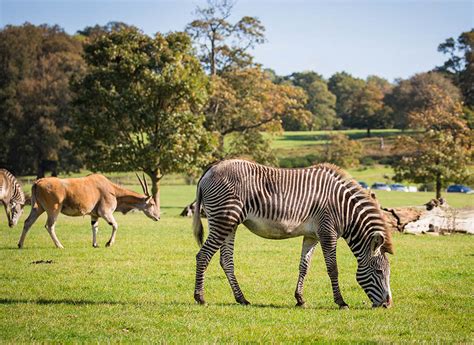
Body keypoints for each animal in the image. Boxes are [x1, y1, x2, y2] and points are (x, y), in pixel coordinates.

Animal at [18, 173, 159, 249]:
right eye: (152, 203)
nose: (158, 217)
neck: (113, 190)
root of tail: (38, 182)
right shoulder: (105, 213)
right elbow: (115, 225)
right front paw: (108, 243)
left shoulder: (94, 215)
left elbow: (94, 228)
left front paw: (95, 244)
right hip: (54, 210)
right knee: (49, 226)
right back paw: (60, 245)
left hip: (38, 209)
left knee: (27, 222)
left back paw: (20, 244)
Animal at [194, 160, 394, 308]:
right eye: (379, 271)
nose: (388, 304)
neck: (344, 208)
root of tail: (210, 168)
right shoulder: (327, 233)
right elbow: (333, 268)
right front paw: (341, 302)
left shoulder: (312, 236)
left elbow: (304, 266)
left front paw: (300, 299)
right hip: (223, 220)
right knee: (203, 255)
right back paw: (200, 297)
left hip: (230, 223)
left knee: (226, 261)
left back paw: (241, 299)